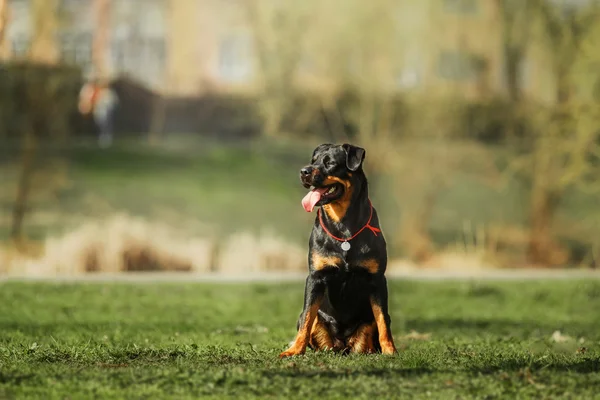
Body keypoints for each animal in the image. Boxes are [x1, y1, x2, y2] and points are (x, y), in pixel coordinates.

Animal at [278, 145, 396, 360]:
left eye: (330, 163)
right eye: (313, 160)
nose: (304, 171)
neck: (343, 224)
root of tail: (342, 346)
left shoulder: (377, 279)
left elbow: (382, 319)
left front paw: (390, 350)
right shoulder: (315, 277)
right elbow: (307, 317)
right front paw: (294, 350)